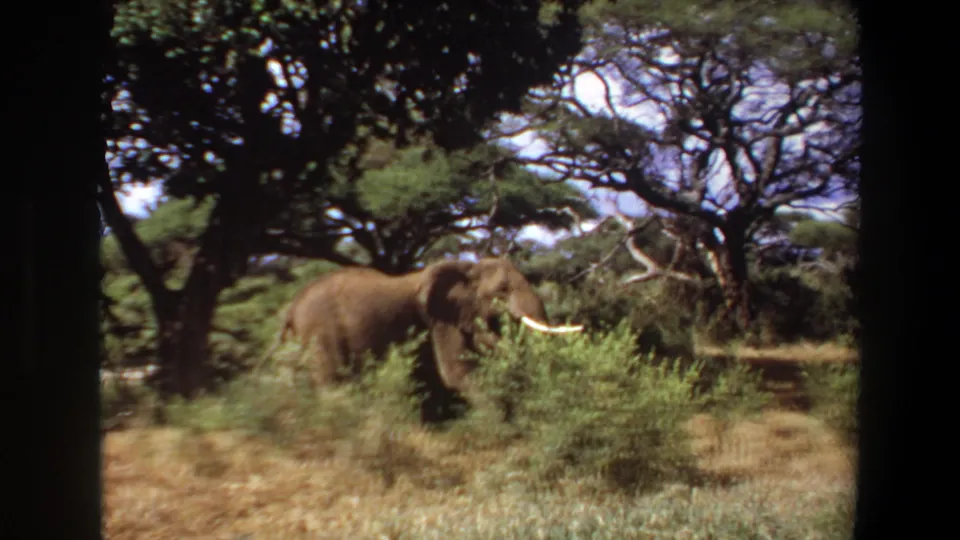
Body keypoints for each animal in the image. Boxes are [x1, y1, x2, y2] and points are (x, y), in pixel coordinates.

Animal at [257, 257, 583, 422]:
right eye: (502, 289)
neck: (467, 267)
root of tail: (292, 306)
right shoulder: (440, 318)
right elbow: (456, 372)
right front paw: (498, 425)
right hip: (321, 330)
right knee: (330, 378)